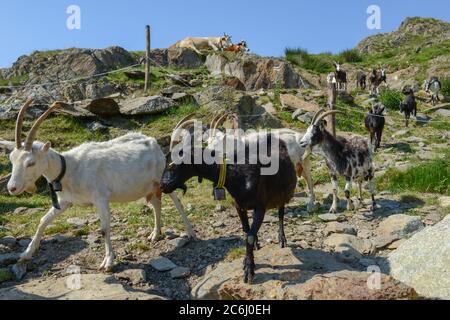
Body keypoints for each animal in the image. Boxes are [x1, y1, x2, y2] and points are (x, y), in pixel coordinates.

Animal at [1, 101, 195, 272]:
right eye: (12, 159)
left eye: (31, 163)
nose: (12, 188)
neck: (70, 167)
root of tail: (153, 142)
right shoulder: (65, 202)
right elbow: (43, 221)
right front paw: (25, 254)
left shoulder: (101, 198)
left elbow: (104, 229)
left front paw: (108, 262)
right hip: (149, 187)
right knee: (156, 204)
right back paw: (155, 234)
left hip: (161, 178)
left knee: (177, 202)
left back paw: (190, 233)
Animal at [160, 122, 298, 282]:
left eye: (173, 164)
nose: (162, 186)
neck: (237, 174)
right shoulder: (239, 206)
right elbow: (246, 233)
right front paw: (247, 260)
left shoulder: (261, 206)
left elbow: (249, 236)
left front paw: (249, 270)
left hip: (283, 194)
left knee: (281, 213)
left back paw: (281, 238)